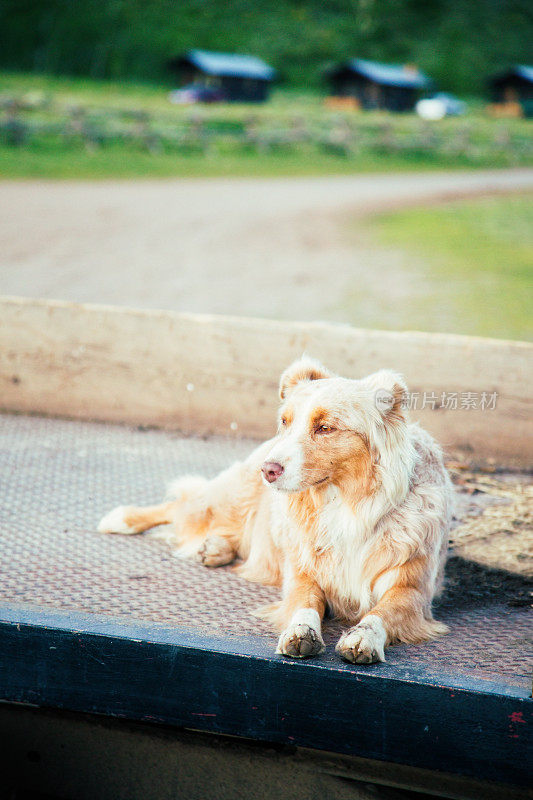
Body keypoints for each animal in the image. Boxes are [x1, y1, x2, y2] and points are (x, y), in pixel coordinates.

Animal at [97, 358, 450, 664]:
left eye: (325, 428)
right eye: (285, 422)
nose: (268, 470)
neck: (345, 504)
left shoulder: (411, 590)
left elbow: (380, 613)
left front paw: (363, 637)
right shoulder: (302, 573)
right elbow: (304, 604)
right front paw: (300, 631)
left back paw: (215, 548)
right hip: (228, 498)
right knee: (182, 504)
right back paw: (123, 518)